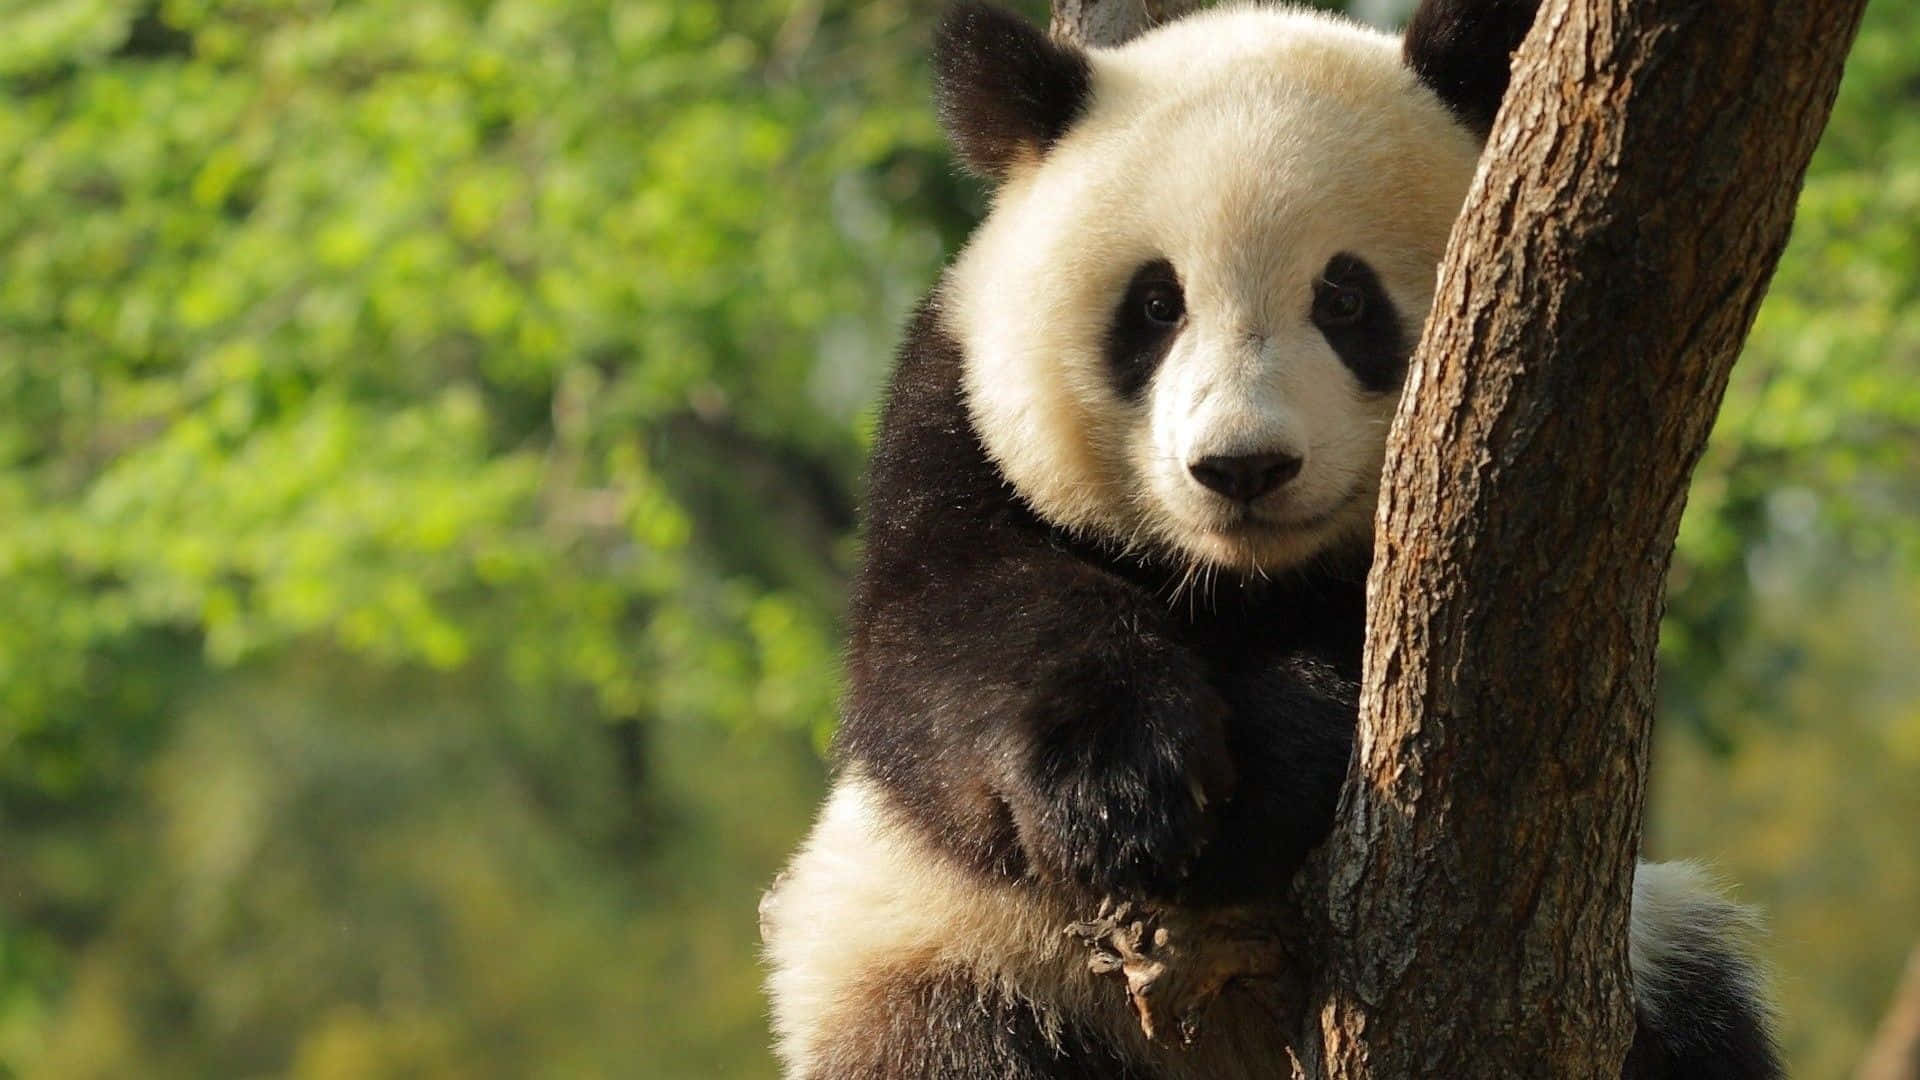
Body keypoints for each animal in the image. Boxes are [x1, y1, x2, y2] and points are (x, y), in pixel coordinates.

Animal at [756, 2, 1774, 1076]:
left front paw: (1268, 765)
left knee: (1703, 1019)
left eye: (1345, 298)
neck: (1241, 580)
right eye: (1156, 304)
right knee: (954, 1041)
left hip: (1653, 949)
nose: (1243, 467)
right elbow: (946, 643)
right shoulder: (954, 423)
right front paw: (1126, 790)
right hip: (936, 958)